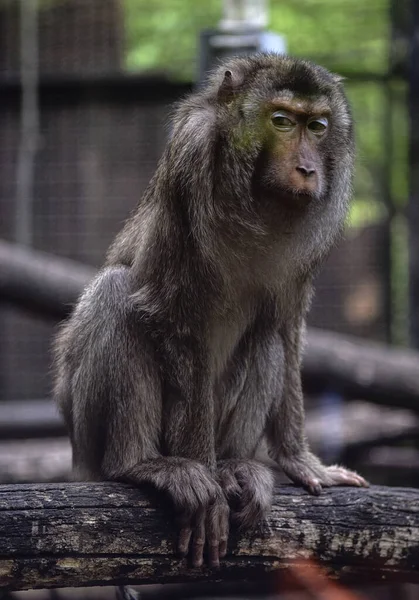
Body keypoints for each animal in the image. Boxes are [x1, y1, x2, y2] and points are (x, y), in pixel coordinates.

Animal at [52, 54, 368, 568]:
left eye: (318, 126)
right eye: (281, 121)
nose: (306, 169)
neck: (256, 201)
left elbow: (286, 329)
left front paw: (299, 459)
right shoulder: (192, 155)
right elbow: (172, 317)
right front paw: (201, 479)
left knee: (266, 338)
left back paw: (236, 465)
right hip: (83, 434)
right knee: (116, 292)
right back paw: (141, 464)